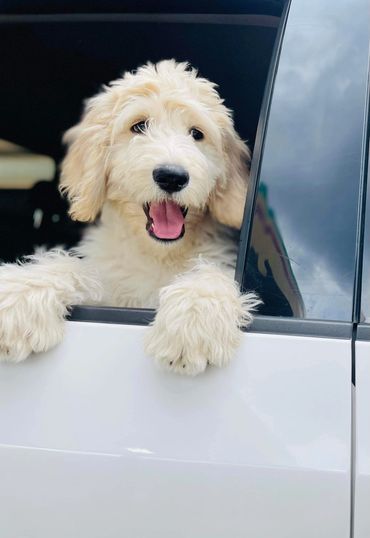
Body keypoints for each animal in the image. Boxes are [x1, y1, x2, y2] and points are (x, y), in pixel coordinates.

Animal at [0, 59, 260, 372]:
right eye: (139, 126)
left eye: (197, 133)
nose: (171, 177)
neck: (157, 254)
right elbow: (75, 268)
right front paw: (18, 298)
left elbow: (212, 275)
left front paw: (193, 321)